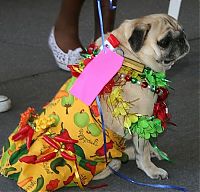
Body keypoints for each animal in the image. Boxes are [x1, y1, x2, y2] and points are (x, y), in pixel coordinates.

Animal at [93, 14, 190, 181]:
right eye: (164, 42)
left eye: (182, 31)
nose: (182, 38)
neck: (133, 56)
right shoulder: (140, 121)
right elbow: (142, 152)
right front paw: (151, 169)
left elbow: (147, 145)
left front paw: (152, 151)